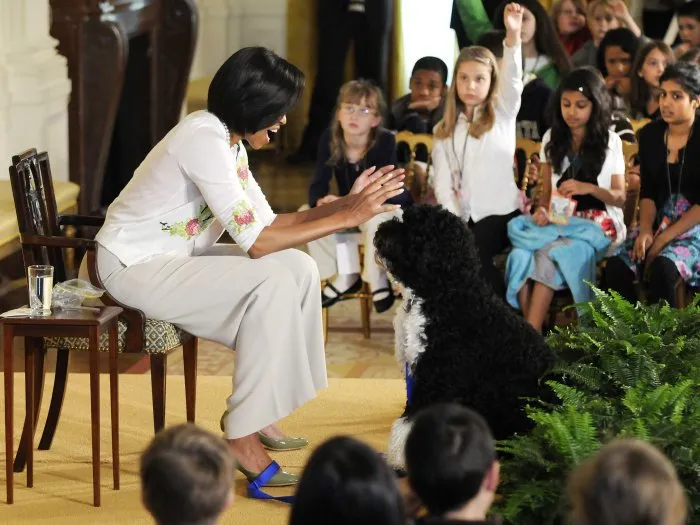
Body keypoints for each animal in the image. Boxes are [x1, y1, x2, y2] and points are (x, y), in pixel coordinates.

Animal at [374, 204, 556, 466]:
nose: (380, 230)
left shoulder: (437, 378)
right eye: (403, 218)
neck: (442, 292)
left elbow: (410, 420)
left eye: (413, 231)